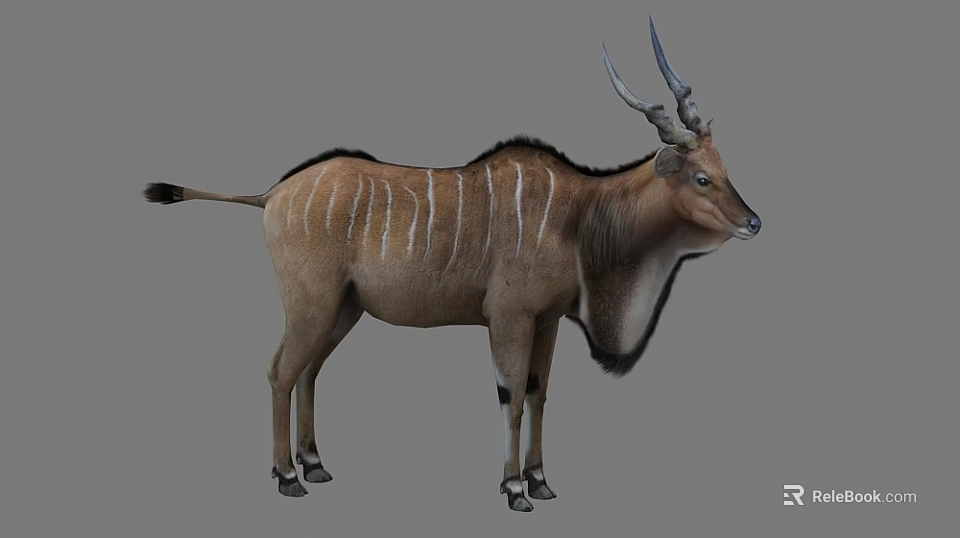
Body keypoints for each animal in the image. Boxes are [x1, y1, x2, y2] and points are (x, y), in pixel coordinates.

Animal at [142, 17, 760, 512]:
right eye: (701, 177)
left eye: (724, 169)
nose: (754, 222)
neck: (579, 214)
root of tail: (272, 193)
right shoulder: (509, 317)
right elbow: (511, 396)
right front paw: (513, 490)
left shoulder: (547, 322)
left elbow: (538, 392)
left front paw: (540, 482)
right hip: (310, 304)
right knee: (280, 371)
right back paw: (286, 476)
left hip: (342, 310)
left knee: (309, 371)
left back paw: (314, 465)